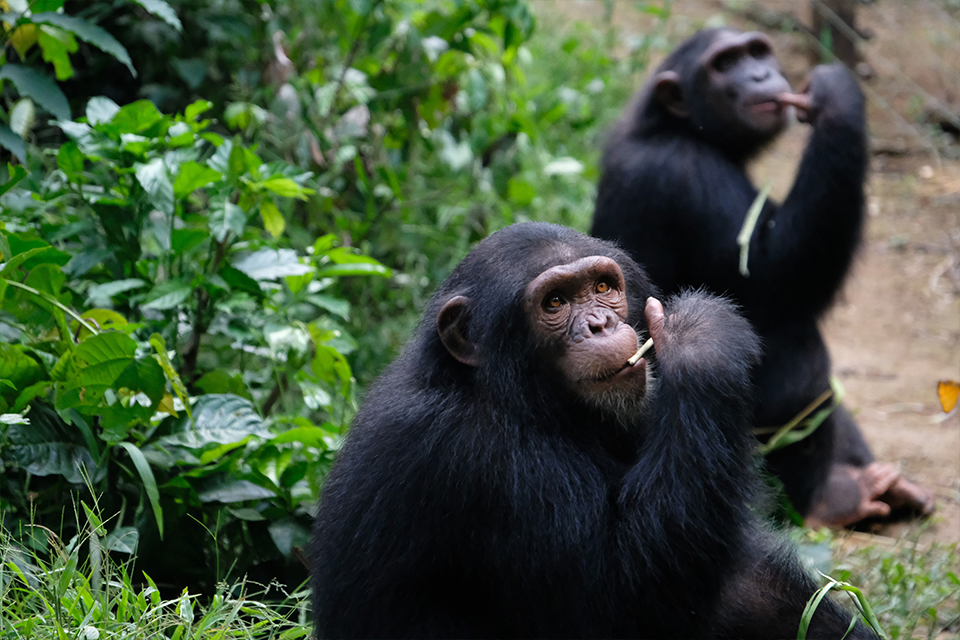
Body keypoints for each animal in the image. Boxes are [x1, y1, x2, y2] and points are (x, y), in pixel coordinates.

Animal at [312, 222, 872, 636]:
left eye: (603, 287)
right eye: (555, 303)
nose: (601, 325)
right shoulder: (472, 459)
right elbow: (623, 594)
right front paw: (700, 338)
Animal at [588, 27, 932, 528]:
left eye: (755, 52)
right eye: (724, 64)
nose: (759, 74)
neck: (679, 128)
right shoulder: (691, 175)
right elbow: (779, 277)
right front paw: (835, 97)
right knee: (802, 353)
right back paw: (832, 497)